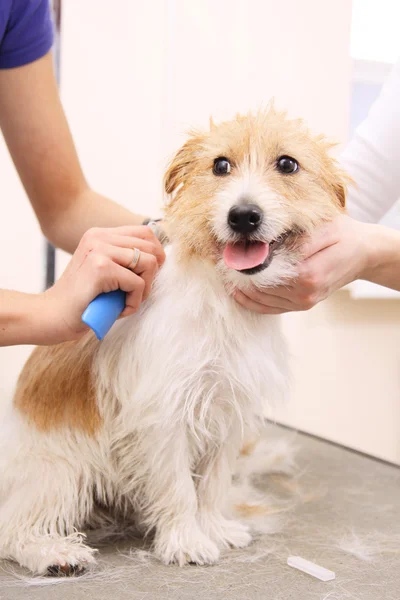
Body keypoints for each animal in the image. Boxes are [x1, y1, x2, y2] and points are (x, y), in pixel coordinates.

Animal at [0, 105, 346, 576]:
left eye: (288, 164)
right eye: (220, 165)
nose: (243, 215)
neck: (222, 297)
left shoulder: (227, 410)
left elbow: (213, 483)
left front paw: (214, 527)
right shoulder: (164, 416)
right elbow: (180, 486)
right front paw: (186, 540)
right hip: (59, 472)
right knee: (11, 527)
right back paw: (54, 553)